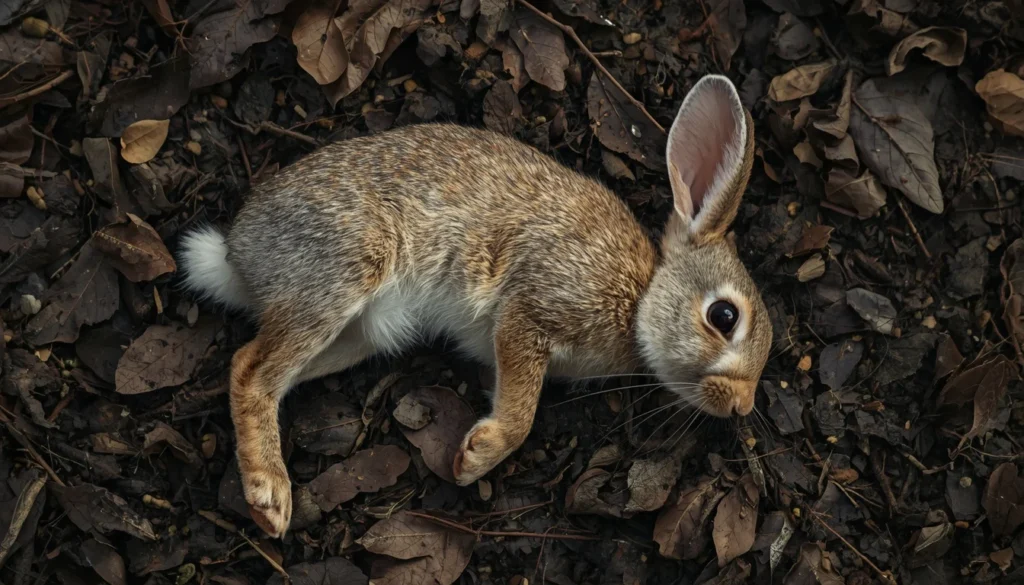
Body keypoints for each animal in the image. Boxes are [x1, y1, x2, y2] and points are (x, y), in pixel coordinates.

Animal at [179, 74, 773, 538]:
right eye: (724, 317)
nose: (742, 405)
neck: (639, 296)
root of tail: (236, 255)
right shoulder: (532, 307)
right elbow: (521, 413)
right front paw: (474, 458)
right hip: (344, 268)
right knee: (249, 368)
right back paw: (269, 496)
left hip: (362, 335)